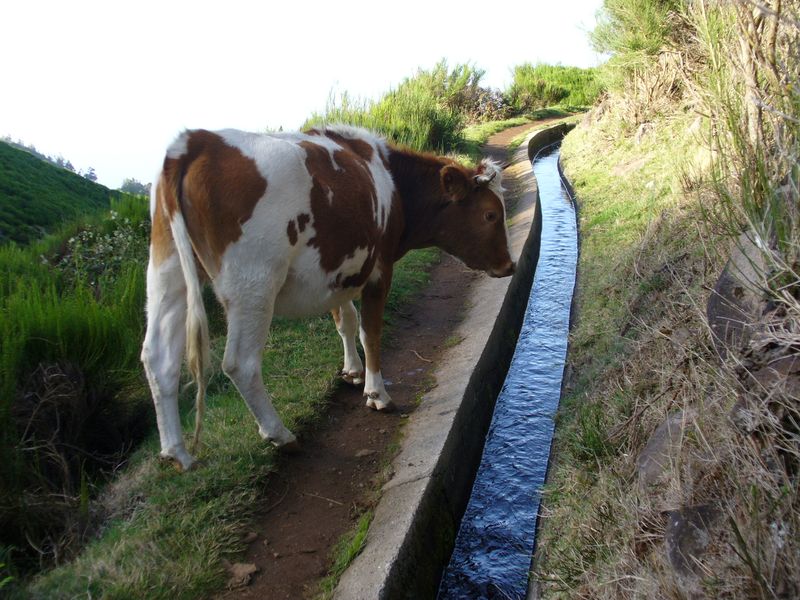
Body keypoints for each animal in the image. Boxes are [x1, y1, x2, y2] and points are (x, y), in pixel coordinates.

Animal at [141, 126, 516, 472]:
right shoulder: (379, 267)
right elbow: (370, 331)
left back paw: (176, 453)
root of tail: (196, 140)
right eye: (490, 215)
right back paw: (280, 435)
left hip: (166, 272)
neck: (394, 185)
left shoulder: (339, 269)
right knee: (240, 363)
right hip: (253, 280)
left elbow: (345, 320)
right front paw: (377, 394)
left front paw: (352, 371)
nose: (510, 265)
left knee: (158, 359)